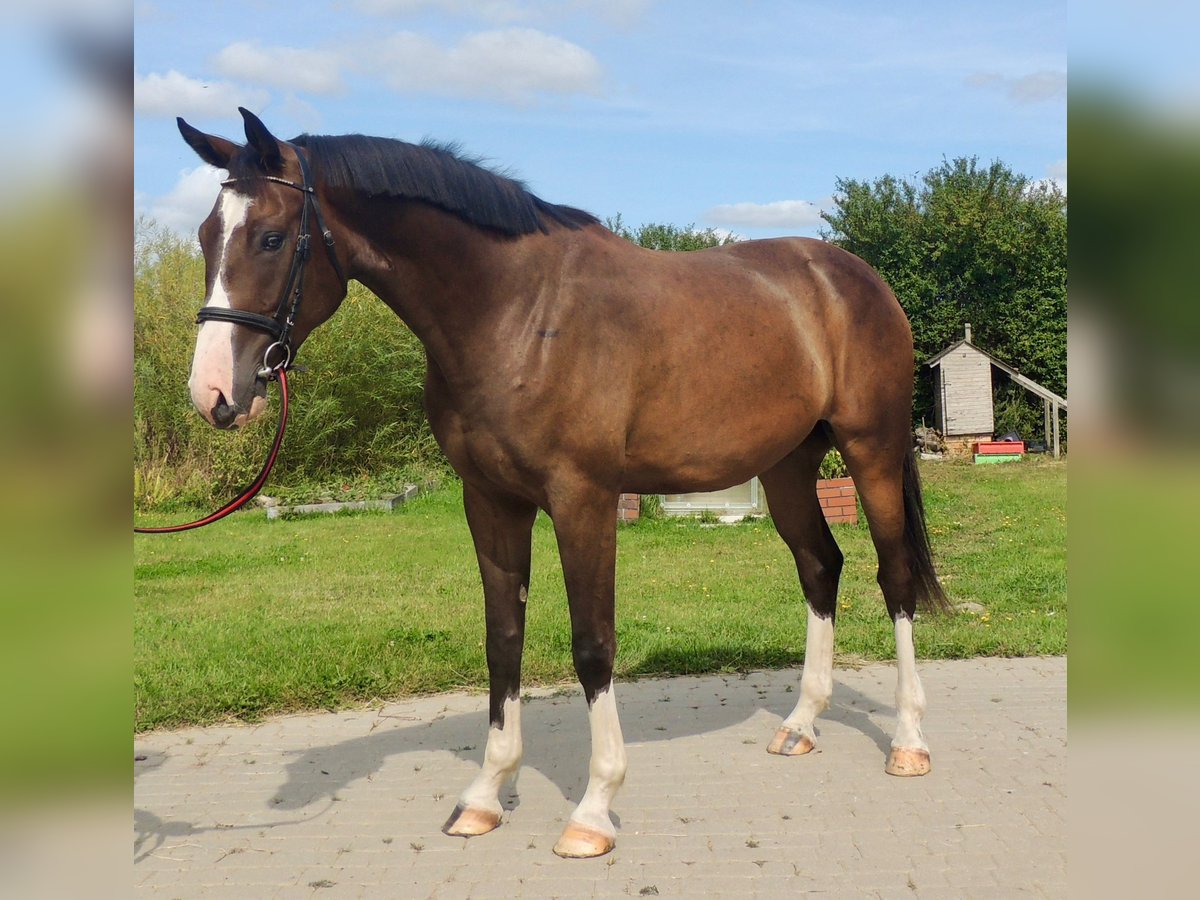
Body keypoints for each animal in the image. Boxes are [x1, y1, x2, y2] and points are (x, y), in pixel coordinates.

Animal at [177, 107, 945, 859]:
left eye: (272, 237)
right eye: (207, 236)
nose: (214, 392)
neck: (516, 313)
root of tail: (853, 275)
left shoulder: (583, 499)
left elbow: (592, 644)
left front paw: (594, 809)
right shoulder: (491, 502)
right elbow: (503, 640)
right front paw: (486, 795)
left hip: (871, 451)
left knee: (894, 576)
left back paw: (908, 741)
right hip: (786, 465)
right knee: (821, 566)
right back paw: (802, 724)